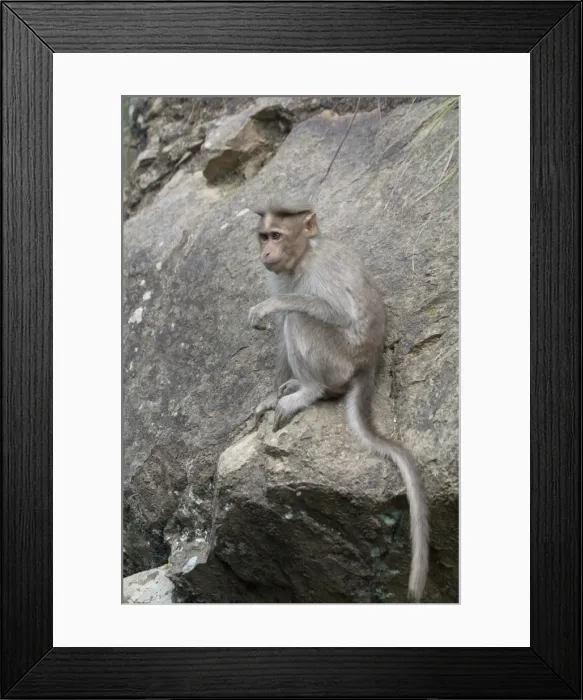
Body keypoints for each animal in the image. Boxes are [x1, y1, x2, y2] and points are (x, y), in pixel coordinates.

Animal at [248, 200, 429, 602]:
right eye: (264, 237)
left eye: (277, 236)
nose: (265, 253)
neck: (302, 259)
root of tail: (366, 367)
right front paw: (268, 394)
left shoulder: (322, 270)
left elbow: (329, 311)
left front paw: (269, 305)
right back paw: (293, 386)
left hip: (337, 360)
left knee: (301, 318)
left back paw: (308, 391)